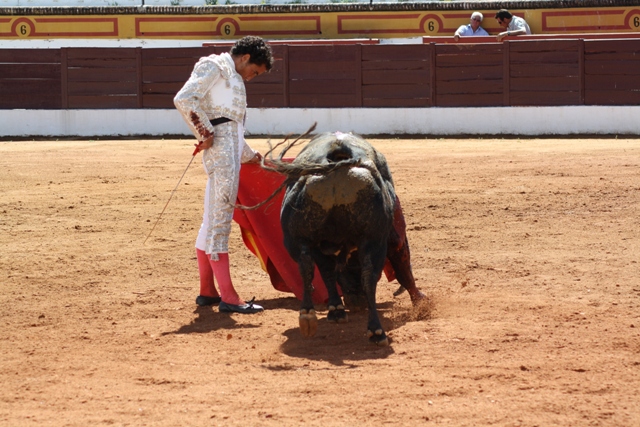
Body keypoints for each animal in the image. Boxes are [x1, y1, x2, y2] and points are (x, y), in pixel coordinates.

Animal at [264, 132, 424, 346]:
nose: (356, 302)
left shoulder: (321, 246)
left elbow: (327, 272)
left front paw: (336, 310)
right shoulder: (394, 236)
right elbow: (403, 268)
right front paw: (421, 302)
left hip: (297, 237)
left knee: (306, 266)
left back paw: (307, 315)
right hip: (375, 240)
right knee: (369, 276)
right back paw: (376, 330)